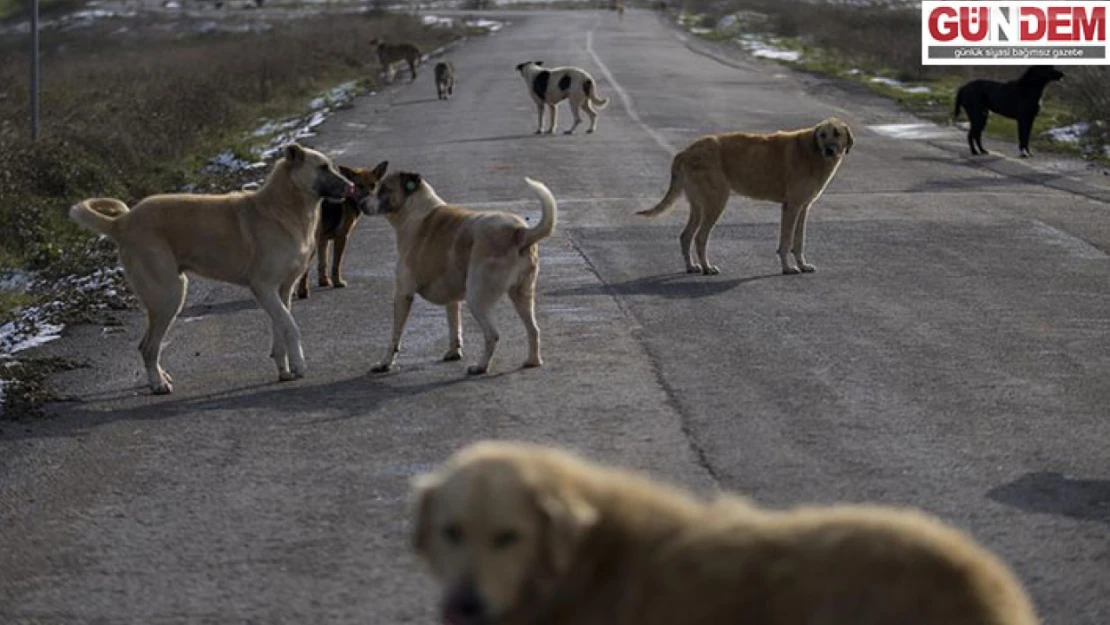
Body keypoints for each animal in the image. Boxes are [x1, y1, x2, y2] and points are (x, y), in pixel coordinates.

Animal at [69, 144, 352, 392]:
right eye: (323, 167)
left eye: (332, 166)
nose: (351, 187)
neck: (285, 207)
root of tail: (122, 222)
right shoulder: (263, 288)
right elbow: (291, 327)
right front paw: (299, 365)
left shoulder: (281, 291)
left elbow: (280, 329)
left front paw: (285, 370)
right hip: (169, 295)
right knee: (148, 347)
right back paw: (158, 385)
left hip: (166, 297)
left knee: (146, 345)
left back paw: (160, 377)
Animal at [295, 159, 390, 299]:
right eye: (359, 185)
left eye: (373, 185)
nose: (367, 200)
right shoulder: (341, 237)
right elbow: (336, 263)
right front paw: (337, 282)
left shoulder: (323, 240)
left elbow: (323, 263)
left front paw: (324, 281)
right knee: (303, 271)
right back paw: (303, 292)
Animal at [361, 170, 555, 377]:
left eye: (384, 189)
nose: (361, 203)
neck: (414, 209)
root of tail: (519, 232)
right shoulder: (452, 298)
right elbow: (454, 325)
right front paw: (454, 352)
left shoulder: (403, 294)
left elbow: (395, 336)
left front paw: (385, 363)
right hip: (522, 294)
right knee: (533, 329)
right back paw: (533, 361)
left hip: (477, 298)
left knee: (492, 334)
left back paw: (481, 366)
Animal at [639, 116, 852, 276]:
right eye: (822, 135)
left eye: (837, 133)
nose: (829, 150)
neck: (812, 151)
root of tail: (685, 152)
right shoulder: (791, 206)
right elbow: (786, 241)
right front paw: (787, 268)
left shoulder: (803, 207)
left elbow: (798, 241)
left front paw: (802, 264)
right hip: (715, 202)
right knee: (700, 237)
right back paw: (707, 267)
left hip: (699, 205)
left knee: (686, 236)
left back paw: (691, 267)